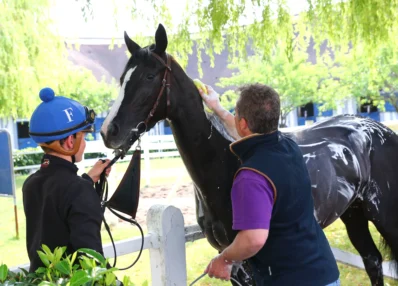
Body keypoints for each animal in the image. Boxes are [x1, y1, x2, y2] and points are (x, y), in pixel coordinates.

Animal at [100, 24, 398, 284]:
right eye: (122, 79)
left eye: (150, 77)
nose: (108, 131)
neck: (223, 162)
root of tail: (379, 130)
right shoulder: (229, 261)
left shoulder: (248, 262)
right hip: (354, 214)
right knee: (372, 261)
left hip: (384, 215)